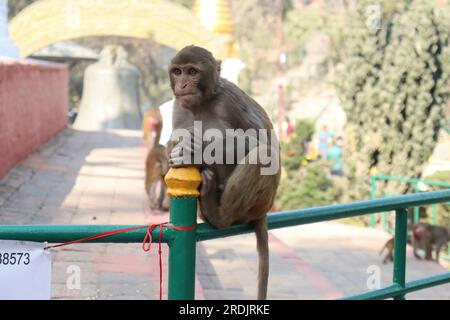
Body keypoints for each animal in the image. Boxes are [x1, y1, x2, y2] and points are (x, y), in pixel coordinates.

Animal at [167, 45, 280, 300]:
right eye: (178, 72)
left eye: (192, 72)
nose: (183, 85)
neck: (202, 103)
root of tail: (263, 211)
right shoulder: (179, 107)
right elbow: (173, 140)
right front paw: (179, 148)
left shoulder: (229, 100)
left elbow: (262, 142)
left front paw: (200, 149)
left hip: (259, 203)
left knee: (263, 154)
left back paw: (219, 216)